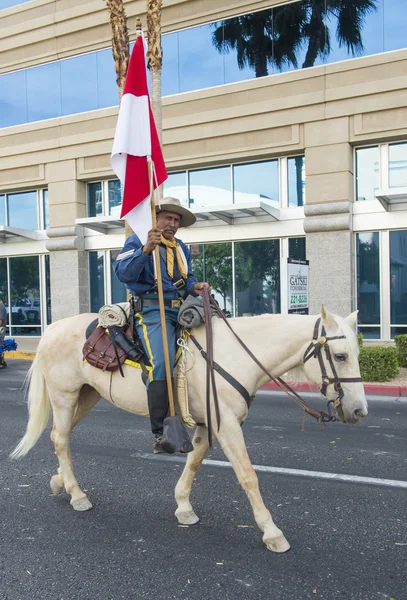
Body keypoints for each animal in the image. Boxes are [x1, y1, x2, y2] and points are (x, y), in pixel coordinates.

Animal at [9, 304, 368, 552]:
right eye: (339, 355)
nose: (359, 410)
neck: (236, 355)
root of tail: (52, 329)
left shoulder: (209, 424)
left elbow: (194, 461)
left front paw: (183, 507)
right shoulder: (227, 425)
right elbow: (247, 475)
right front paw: (272, 532)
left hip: (87, 396)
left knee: (60, 436)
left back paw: (61, 483)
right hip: (65, 395)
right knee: (60, 439)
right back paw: (78, 495)